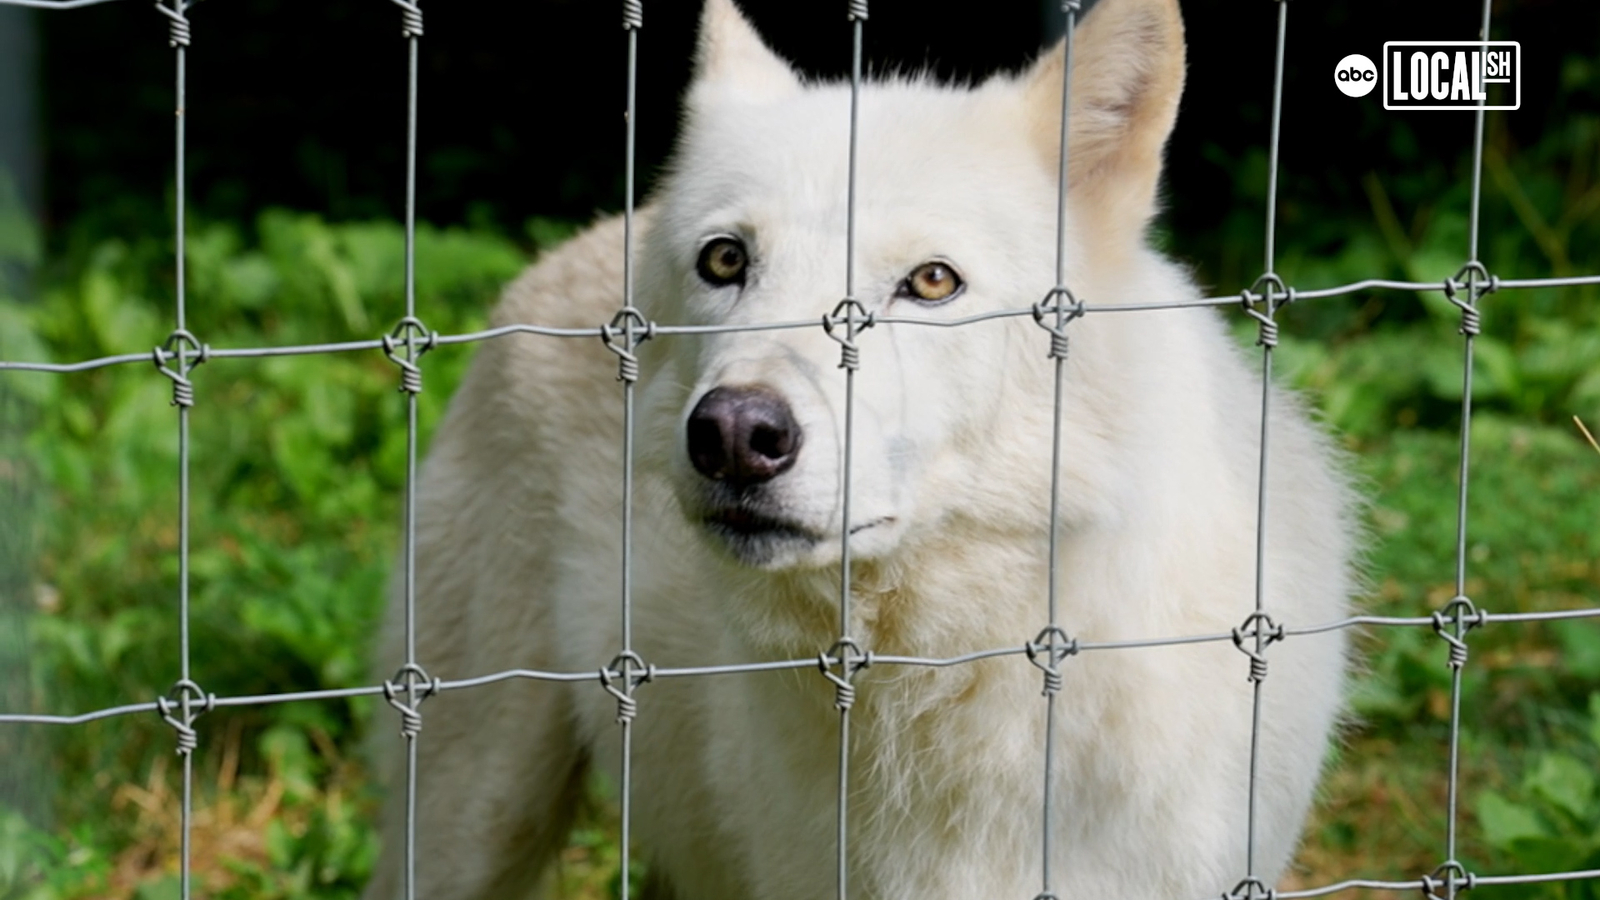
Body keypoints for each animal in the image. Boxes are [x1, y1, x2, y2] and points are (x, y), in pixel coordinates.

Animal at [365, 0, 1356, 897]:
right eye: (725, 261)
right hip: (474, 816)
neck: (953, 671)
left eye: (932, 282)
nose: (735, 435)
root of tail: (573, 241)